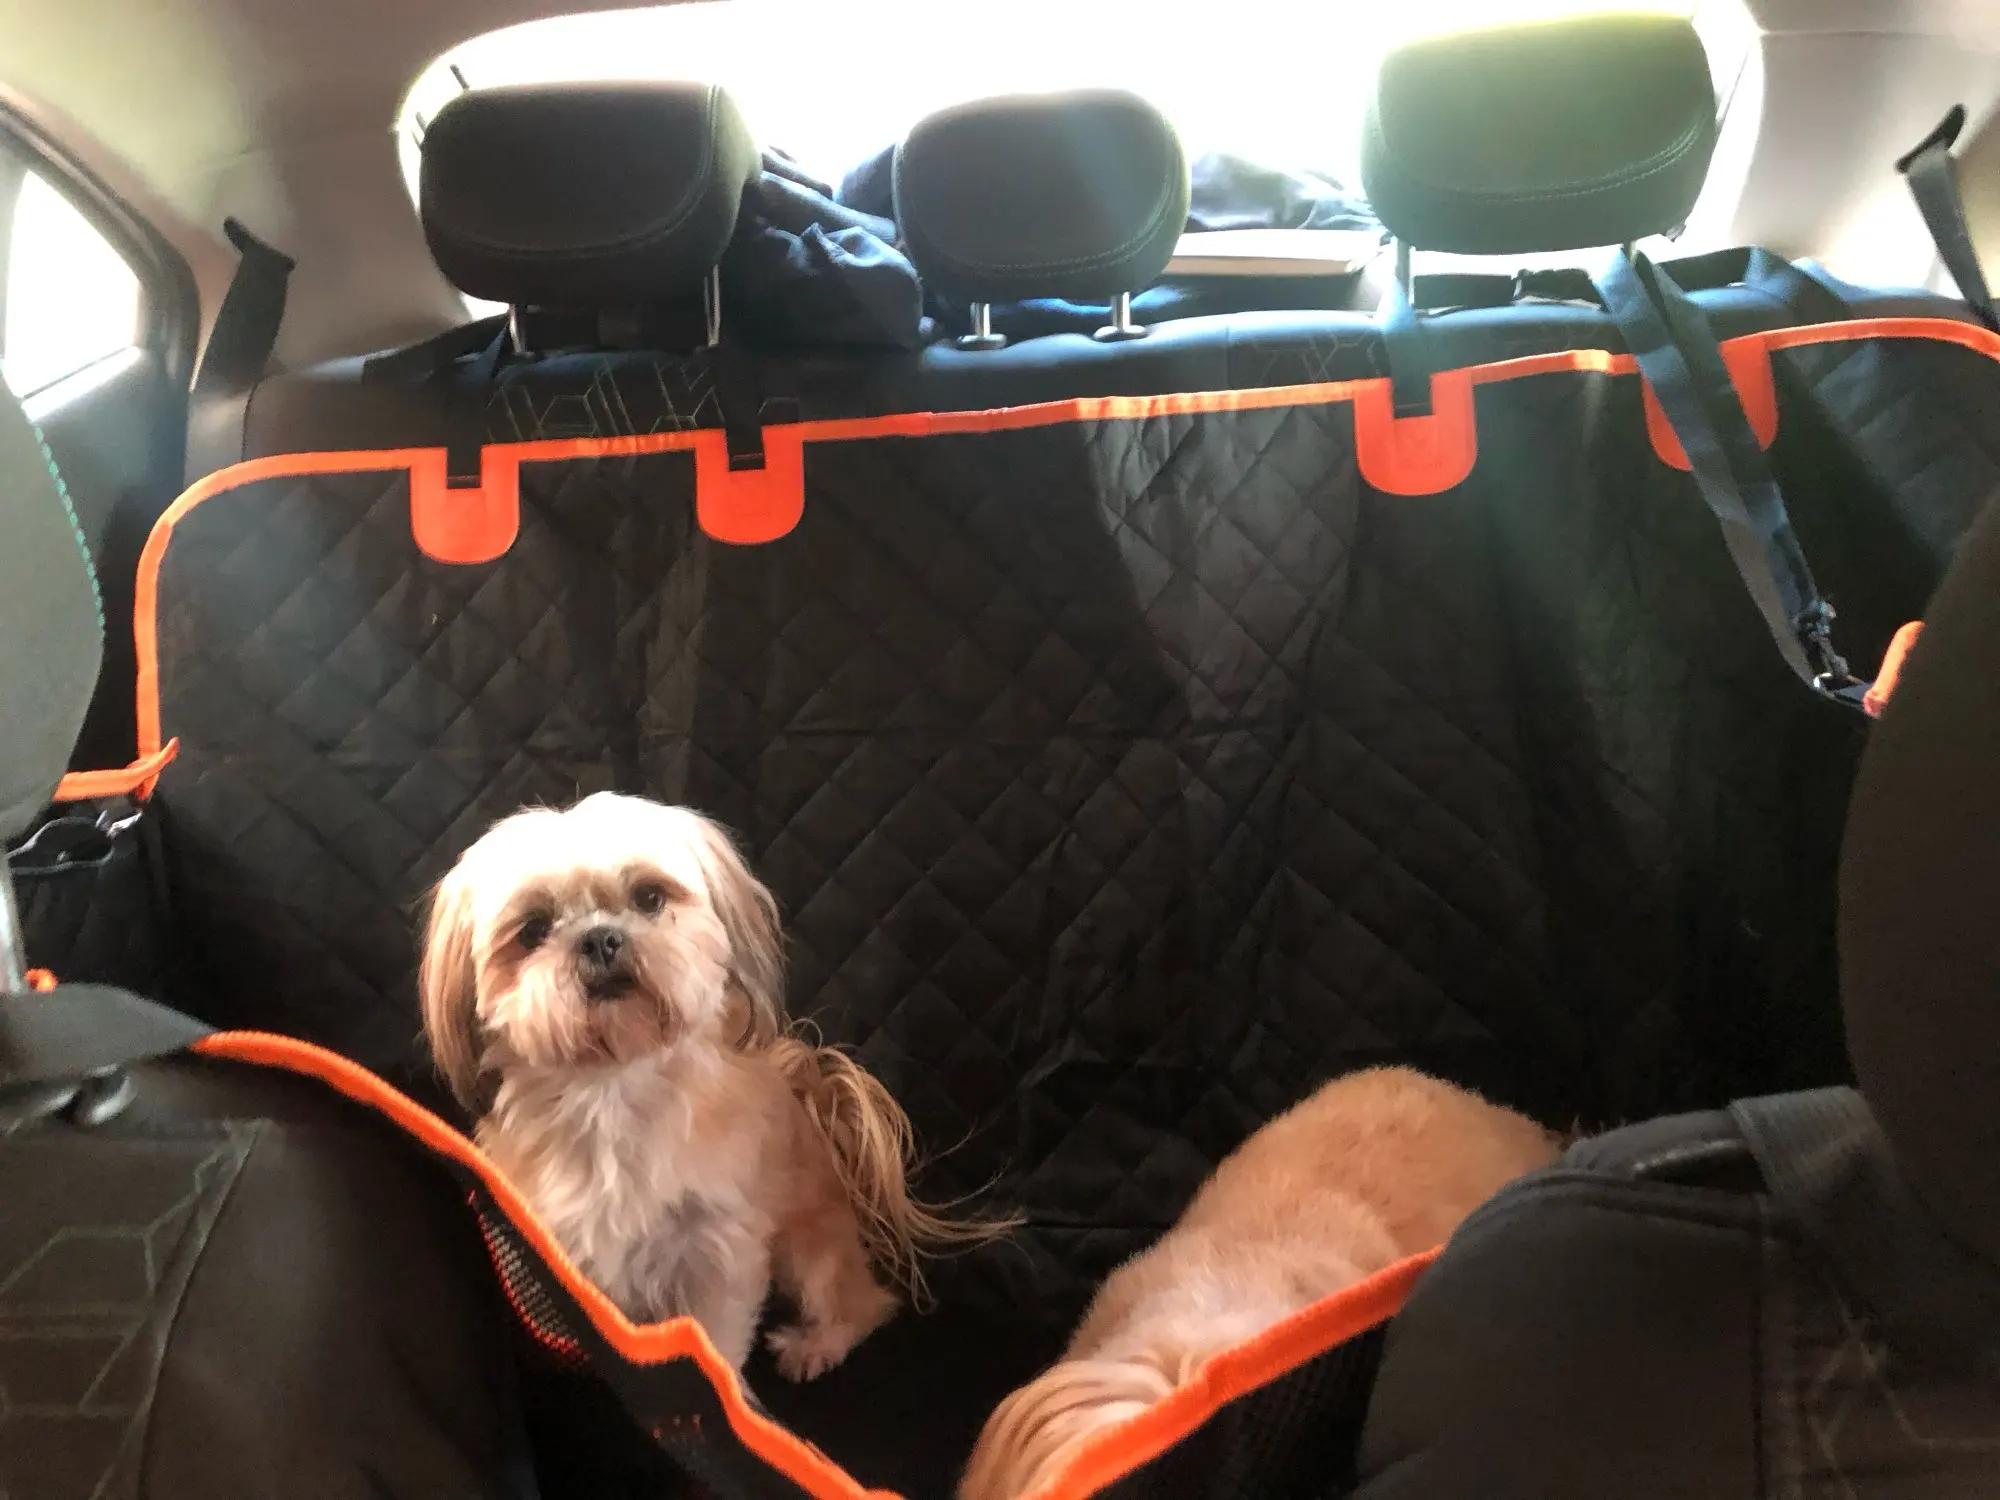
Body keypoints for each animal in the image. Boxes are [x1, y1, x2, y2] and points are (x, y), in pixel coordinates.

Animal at [419, 791, 1004, 1380]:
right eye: (534, 929)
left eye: (649, 897)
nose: (600, 938)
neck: (614, 1088)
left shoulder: (715, 1251)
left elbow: (715, 1344)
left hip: (809, 1250)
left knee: (857, 1304)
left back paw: (815, 1345)